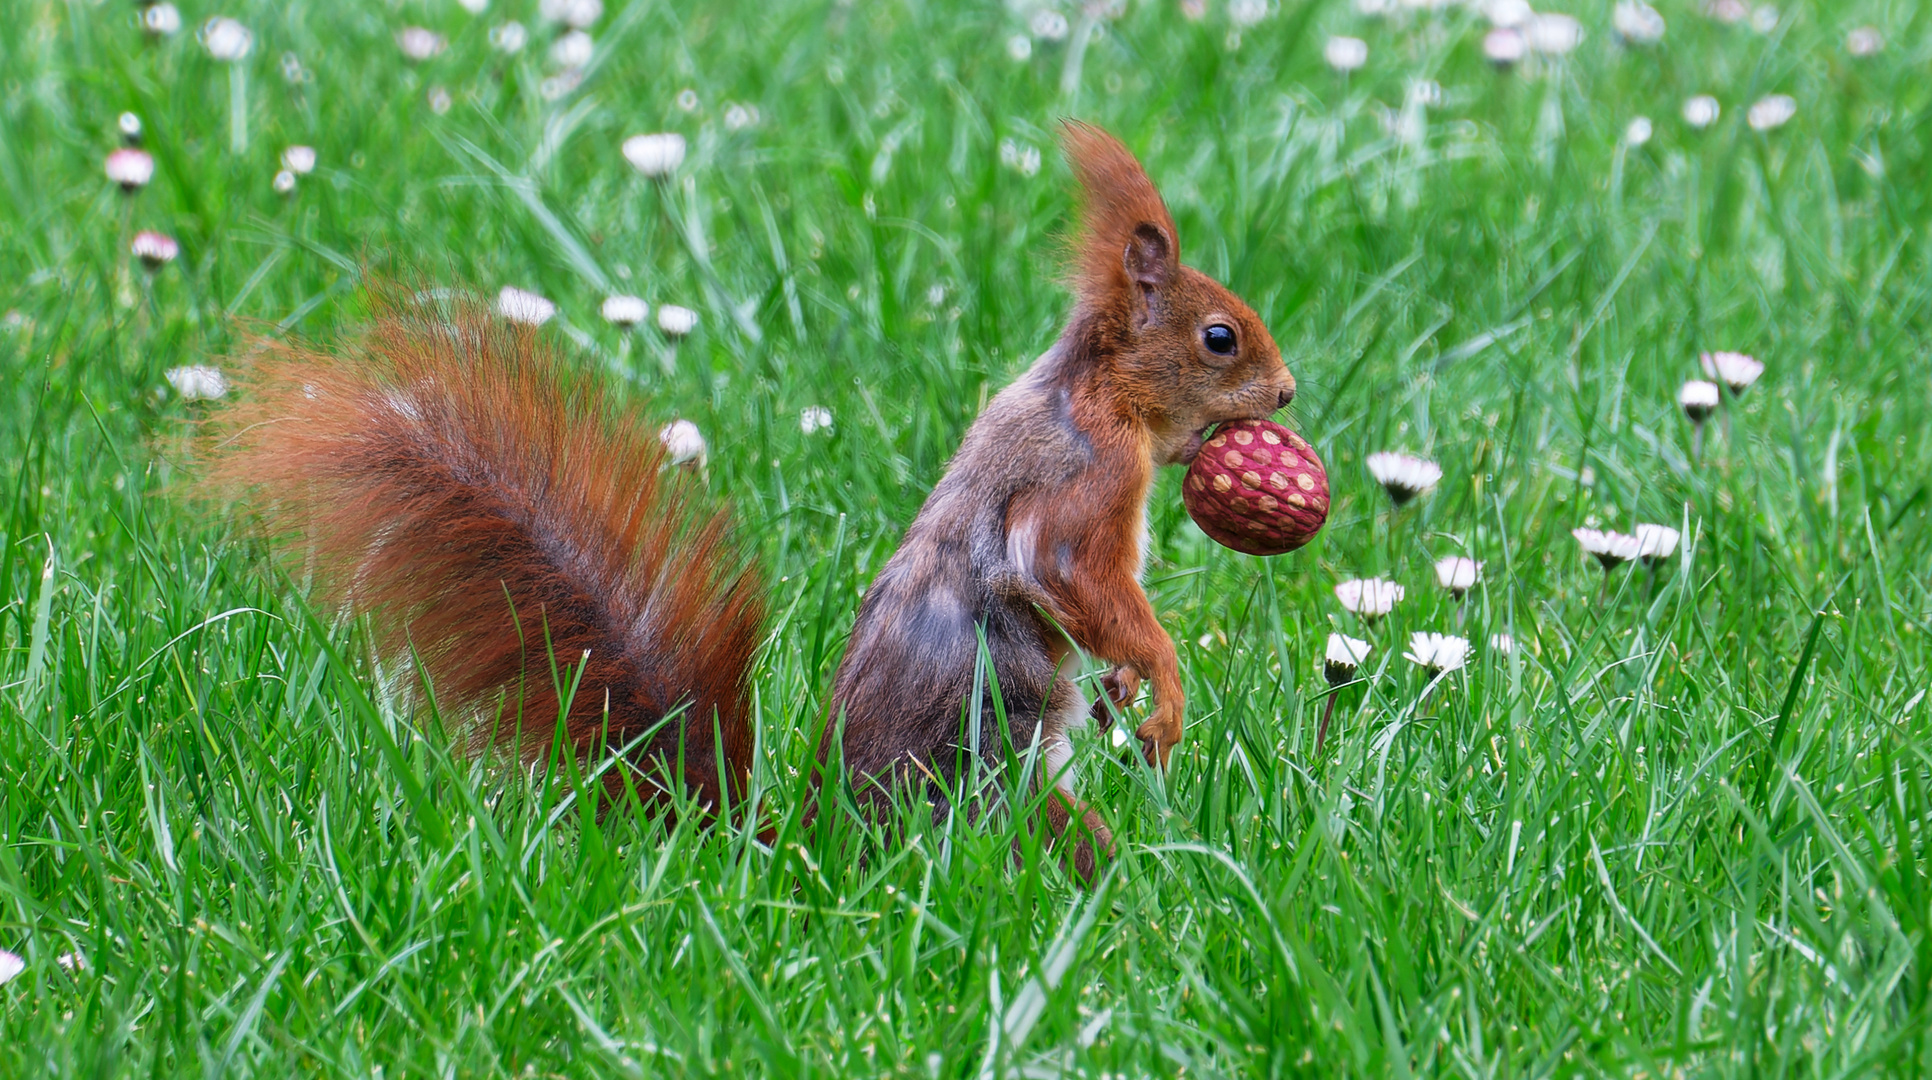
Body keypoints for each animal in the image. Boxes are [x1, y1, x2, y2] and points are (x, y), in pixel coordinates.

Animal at [207, 122, 1298, 873]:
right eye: (1220, 337)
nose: (1287, 395)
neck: (1095, 393)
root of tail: (817, 848)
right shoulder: (1088, 480)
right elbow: (1070, 570)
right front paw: (1162, 686)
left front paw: (1124, 690)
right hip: (1001, 799)